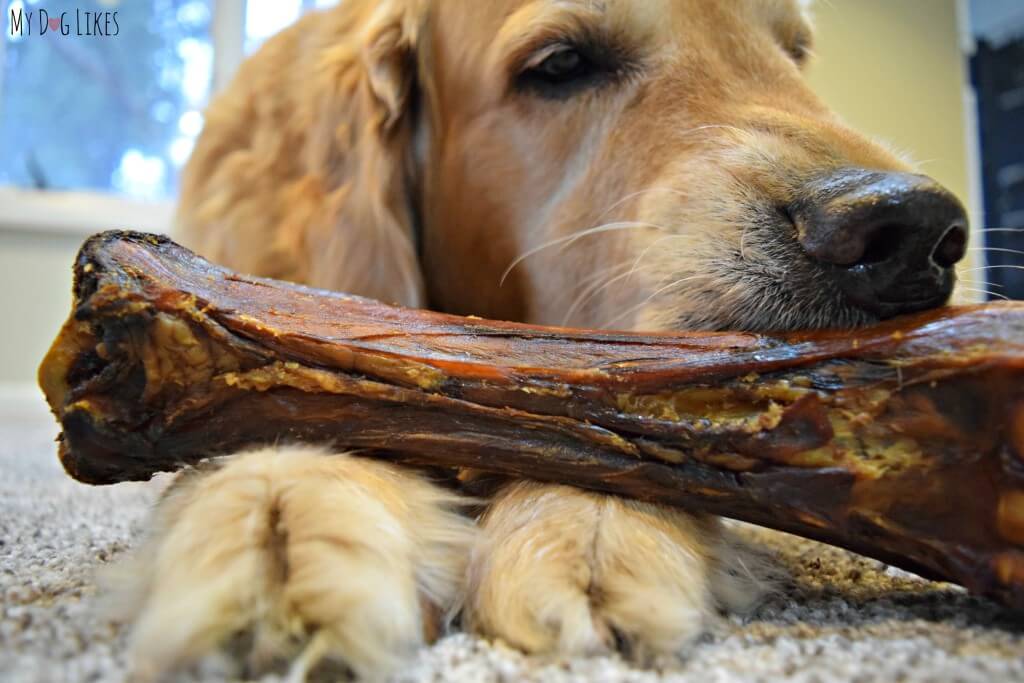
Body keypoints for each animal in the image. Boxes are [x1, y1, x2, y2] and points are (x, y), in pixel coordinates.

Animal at [112, 1, 966, 679]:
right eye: (560, 64)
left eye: (794, 53)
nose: (910, 229)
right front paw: (282, 517)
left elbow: (604, 413)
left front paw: (591, 528)